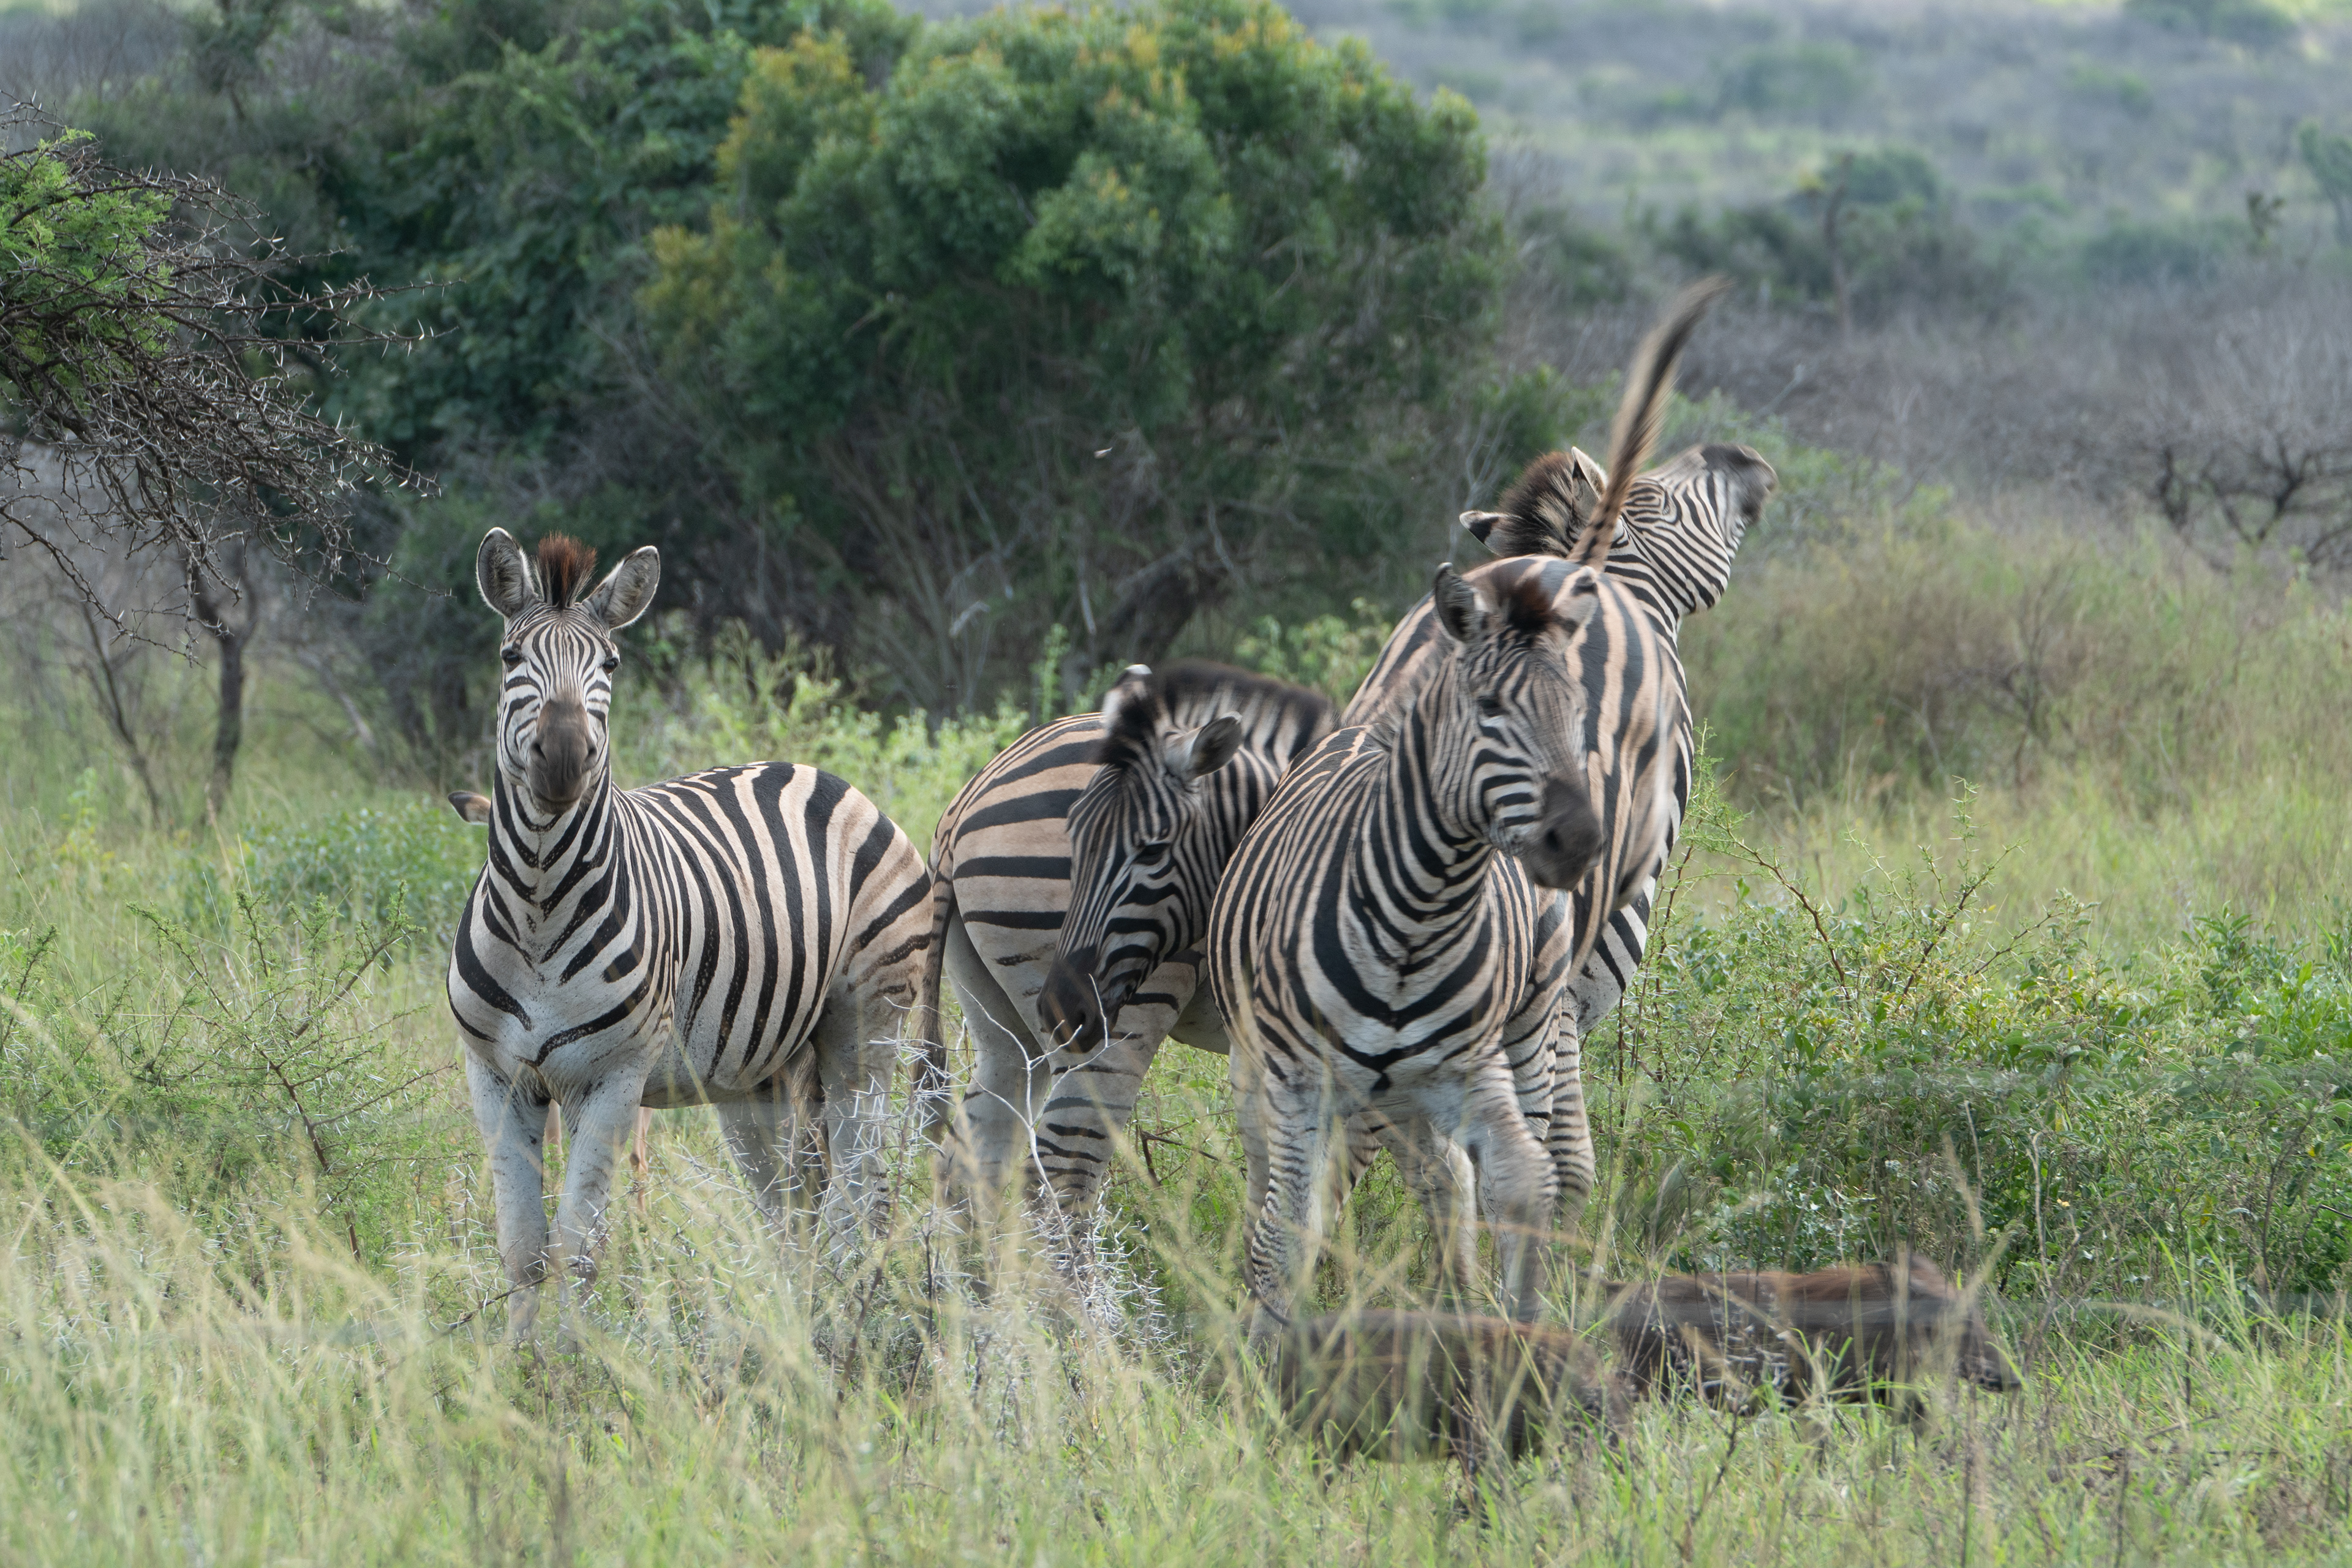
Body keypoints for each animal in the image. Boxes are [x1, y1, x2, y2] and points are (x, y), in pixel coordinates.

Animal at [449, 529, 938, 1341]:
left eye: (611, 665)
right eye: (510, 657)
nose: (564, 755)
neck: (539, 910)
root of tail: (822, 774)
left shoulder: (611, 1079)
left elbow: (579, 1248)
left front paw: (574, 1368)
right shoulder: (497, 1077)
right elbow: (523, 1249)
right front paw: (517, 1365)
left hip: (867, 1027)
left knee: (858, 1193)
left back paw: (849, 1329)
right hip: (754, 1074)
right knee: (789, 1209)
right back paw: (791, 1332)